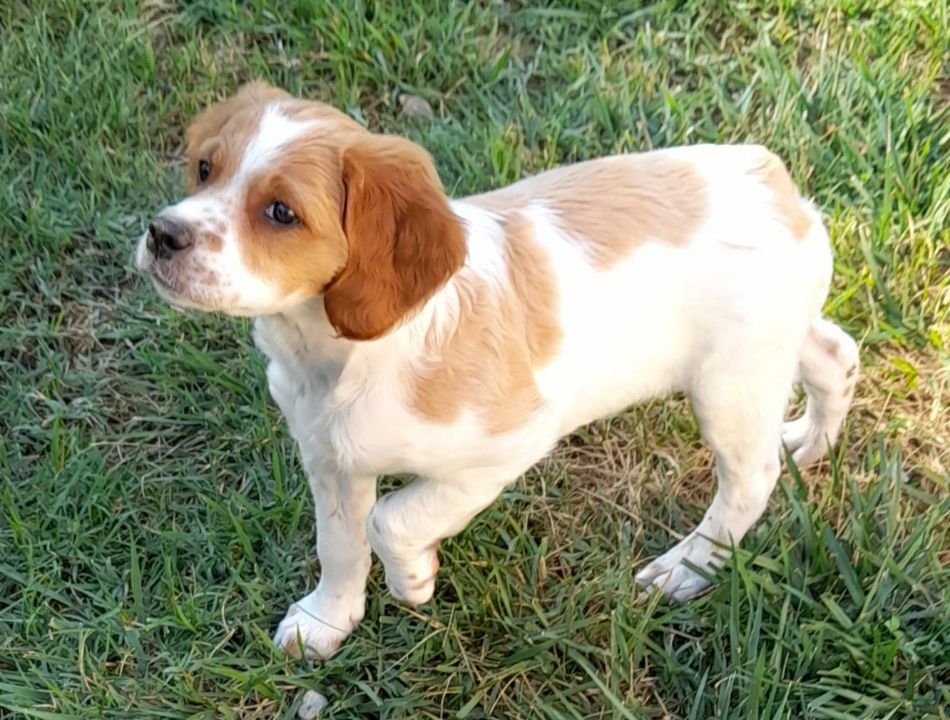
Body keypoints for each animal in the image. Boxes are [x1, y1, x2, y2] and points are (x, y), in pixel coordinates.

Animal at [136, 83, 864, 660]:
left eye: (281, 213)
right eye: (204, 168)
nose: (161, 233)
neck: (340, 354)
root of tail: (768, 175)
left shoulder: (504, 447)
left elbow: (392, 519)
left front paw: (412, 581)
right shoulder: (331, 460)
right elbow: (339, 543)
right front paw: (326, 622)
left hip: (730, 382)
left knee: (751, 478)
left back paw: (687, 565)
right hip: (776, 344)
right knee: (837, 356)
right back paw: (809, 441)